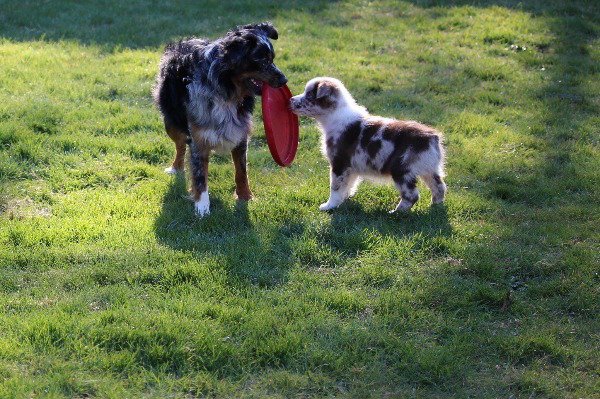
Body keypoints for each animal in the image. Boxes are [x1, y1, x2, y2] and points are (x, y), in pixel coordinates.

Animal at [154, 22, 288, 216]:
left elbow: (241, 172)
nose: (285, 80)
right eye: (261, 60)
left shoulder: (240, 135)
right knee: (180, 145)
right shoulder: (199, 140)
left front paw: (246, 198)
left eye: (272, 58)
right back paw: (176, 167)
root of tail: (182, 42)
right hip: (171, 122)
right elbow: (200, 176)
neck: (226, 92)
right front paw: (202, 208)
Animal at [290, 79, 446, 216]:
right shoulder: (351, 168)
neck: (335, 116)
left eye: (309, 94)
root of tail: (432, 137)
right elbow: (348, 185)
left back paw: (395, 213)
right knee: (439, 187)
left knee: (412, 195)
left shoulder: (339, 163)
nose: (291, 100)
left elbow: (335, 187)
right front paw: (344, 199)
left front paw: (329, 206)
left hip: (402, 170)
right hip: (430, 169)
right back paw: (435, 207)